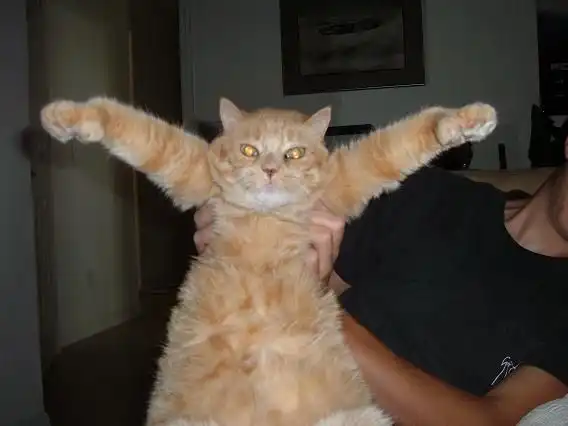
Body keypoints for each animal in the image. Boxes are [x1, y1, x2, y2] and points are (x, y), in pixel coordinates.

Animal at [40, 96, 497, 426]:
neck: (265, 223)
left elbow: (400, 140)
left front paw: (464, 120)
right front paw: (69, 116)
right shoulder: (189, 167)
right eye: (249, 150)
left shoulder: (347, 178)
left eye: (294, 153)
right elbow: (137, 129)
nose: (271, 170)